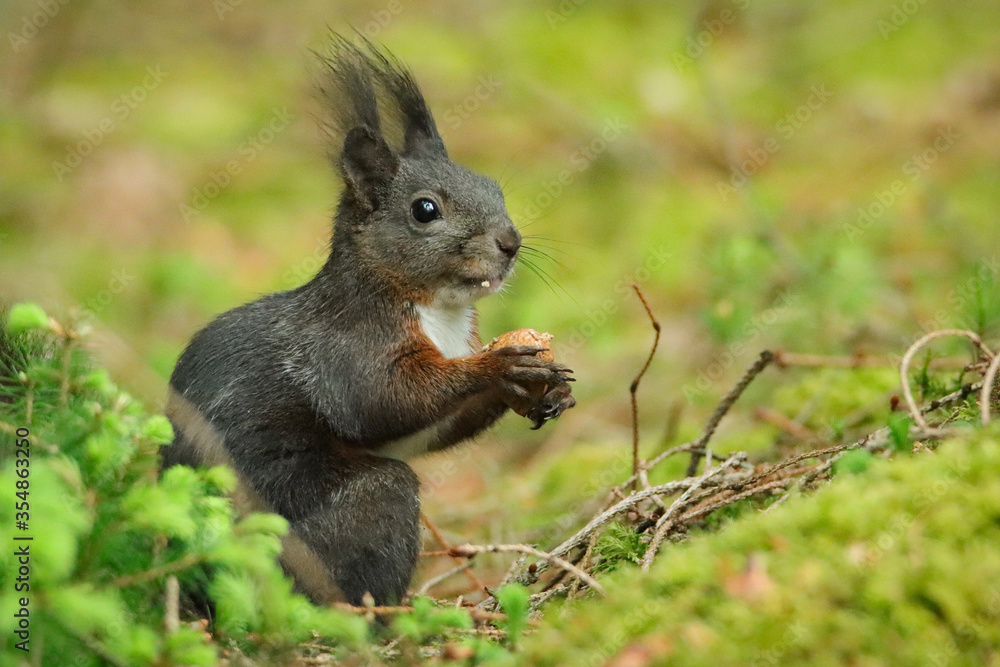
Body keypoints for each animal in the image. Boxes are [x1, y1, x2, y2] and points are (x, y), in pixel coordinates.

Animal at [161, 35, 576, 607]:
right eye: (425, 210)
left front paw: (540, 388)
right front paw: (501, 366)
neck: (439, 311)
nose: (510, 242)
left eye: (494, 186)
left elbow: (421, 430)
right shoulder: (346, 349)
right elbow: (381, 402)